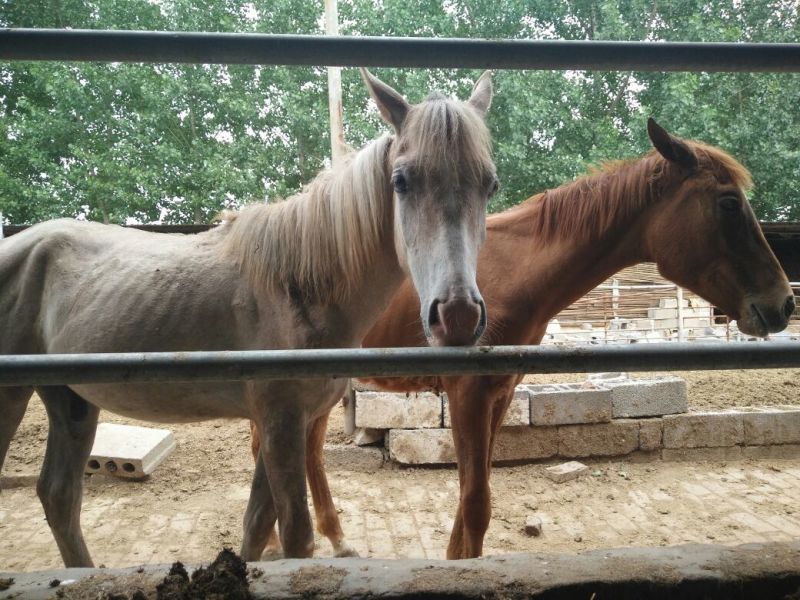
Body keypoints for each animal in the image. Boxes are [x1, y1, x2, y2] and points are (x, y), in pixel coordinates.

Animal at [0, 68, 498, 568]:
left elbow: (256, 526)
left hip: (71, 400)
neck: (299, 287)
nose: (456, 315)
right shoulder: (280, 422)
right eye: (401, 181)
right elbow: (295, 535)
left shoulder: (291, 423)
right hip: (17, 397)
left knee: (59, 496)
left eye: (489, 184)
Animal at [251, 118, 794, 559]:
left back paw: (334, 542)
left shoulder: (500, 395)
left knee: (307, 450)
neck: (513, 271)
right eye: (728, 203)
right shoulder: (467, 394)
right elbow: (475, 505)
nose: (783, 303)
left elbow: (473, 504)